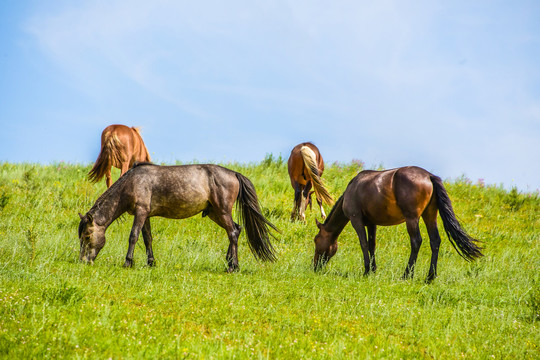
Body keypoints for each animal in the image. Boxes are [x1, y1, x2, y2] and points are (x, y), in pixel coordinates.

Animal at [79, 162, 278, 272]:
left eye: (87, 236)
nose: (83, 261)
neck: (132, 182)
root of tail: (234, 173)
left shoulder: (141, 212)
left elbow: (133, 236)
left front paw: (128, 262)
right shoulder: (146, 214)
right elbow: (147, 238)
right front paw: (151, 262)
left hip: (222, 211)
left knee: (233, 233)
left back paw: (232, 266)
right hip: (215, 213)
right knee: (236, 229)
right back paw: (229, 261)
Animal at [314, 166, 484, 282]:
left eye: (316, 240)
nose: (314, 266)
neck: (353, 188)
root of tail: (429, 176)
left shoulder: (357, 220)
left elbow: (363, 243)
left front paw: (367, 270)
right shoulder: (372, 223)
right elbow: (371, 245)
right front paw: (373, 270)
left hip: (412, 218)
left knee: (416, 241)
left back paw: (407, 274)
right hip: (430, 216)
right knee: (435, 241)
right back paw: (430, 276)